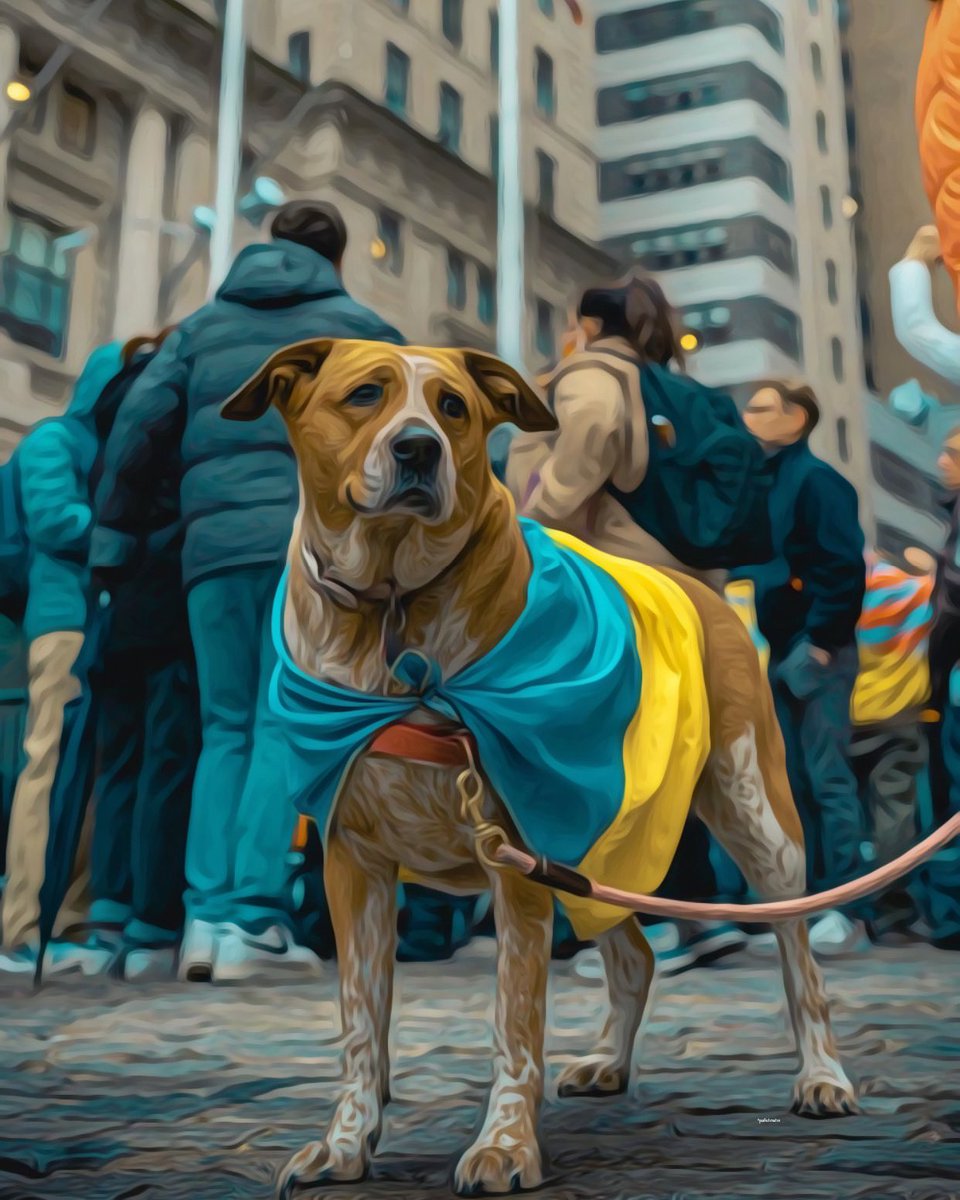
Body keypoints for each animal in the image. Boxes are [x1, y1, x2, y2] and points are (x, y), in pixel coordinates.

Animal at [223, 340, 854, 1200]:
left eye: (453, 408)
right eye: (363, 395)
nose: (417, 450)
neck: (392, 614)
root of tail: (702, 592)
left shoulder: (514, 859)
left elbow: (514, 1024)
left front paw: (504, 1145)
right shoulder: (352, 862)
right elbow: (360, 1019)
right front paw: (347, 1142)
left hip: (756, 816)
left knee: (799, 958)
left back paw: (822, 1074)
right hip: (596, 837)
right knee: (636, 956)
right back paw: (611, 1060)